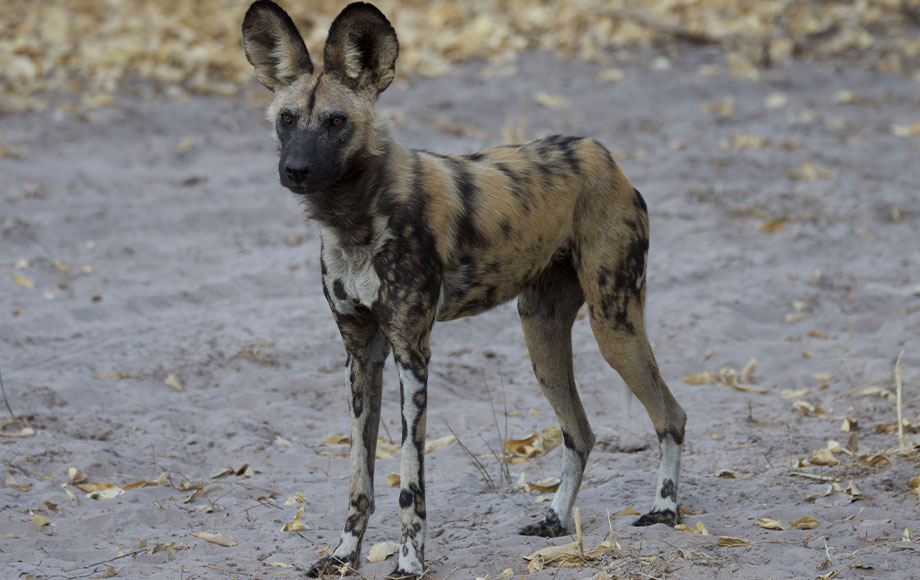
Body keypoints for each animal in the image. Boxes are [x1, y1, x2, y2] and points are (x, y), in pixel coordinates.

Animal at [241, 2, 688, 576]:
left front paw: (409, 562)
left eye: (337, 122)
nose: (294, 169)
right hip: (541, 336)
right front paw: (343, 555)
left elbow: (409, 481)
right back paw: (554, 519)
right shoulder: (360, 355)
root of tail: (605, 156)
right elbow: (359, 474)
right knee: (581, 432)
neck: (354, 217)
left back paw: (665, 508)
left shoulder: (412, 354)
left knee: (669, 415)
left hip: (614, 325)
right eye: (287, 119)